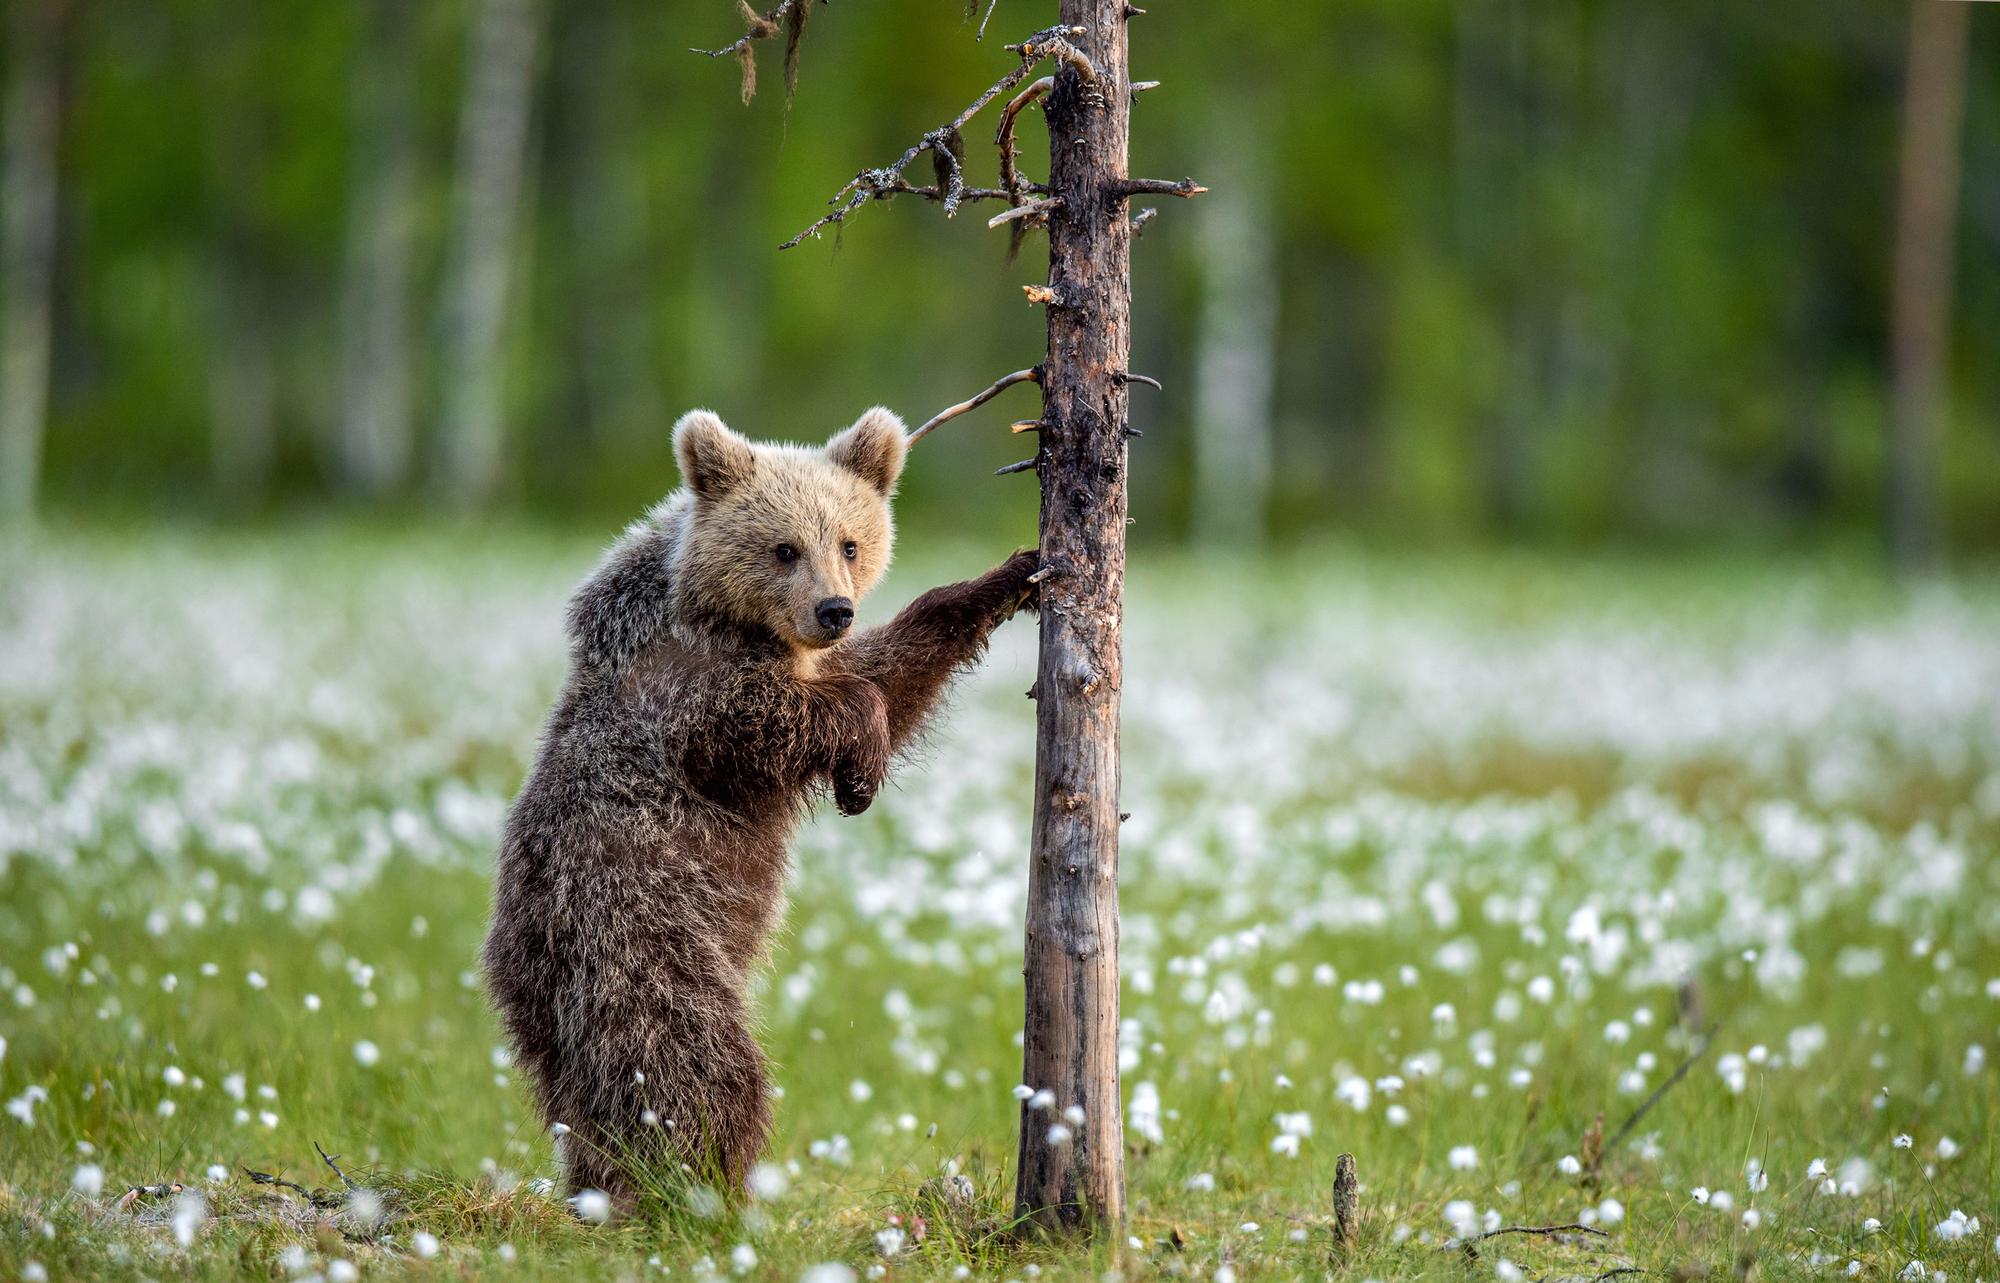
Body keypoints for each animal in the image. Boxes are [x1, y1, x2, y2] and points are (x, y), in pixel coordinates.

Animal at [481, 405, 1039, 1215]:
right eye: (783, 547)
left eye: (849, 541)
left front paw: (1008, 577)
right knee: (687, 1062)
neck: (733, 619)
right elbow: (768, 722)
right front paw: (859, 765)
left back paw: (603, 1185)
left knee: (579, 1095)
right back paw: (704, 1189)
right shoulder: (685, 696)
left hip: (555, 993)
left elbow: (891, 668)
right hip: (640, 932)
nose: (834, 609)